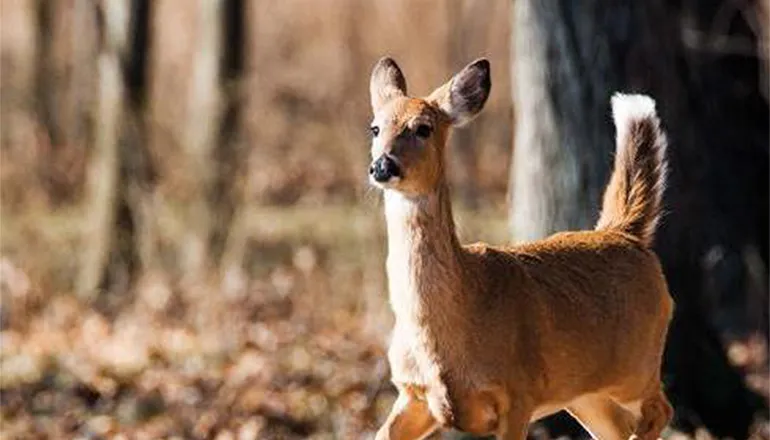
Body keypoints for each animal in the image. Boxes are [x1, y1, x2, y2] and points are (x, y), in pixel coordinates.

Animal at [367, 56, 674, 440]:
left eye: (423, 128)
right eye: (375, 128)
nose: (382, 165)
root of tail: (624, 233)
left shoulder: (518, 391)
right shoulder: (413, 394)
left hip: (636, 365)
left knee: (660, 409)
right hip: (582, 393)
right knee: (618, 427)